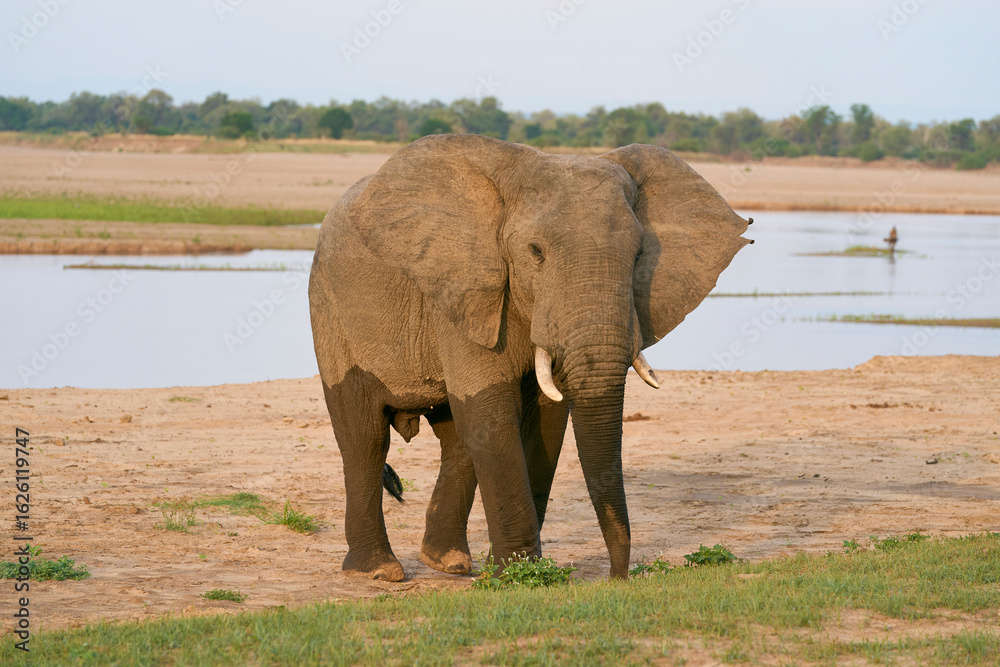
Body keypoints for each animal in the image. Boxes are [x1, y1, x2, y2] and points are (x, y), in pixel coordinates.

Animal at [308, 134, 752, 581]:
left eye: (639, 254)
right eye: (535, 252)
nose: (618, 577)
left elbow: (547, 418)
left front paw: (519, 570)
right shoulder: (462, 290)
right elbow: (491, 413)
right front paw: (515, 574)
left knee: (456, 440)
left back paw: (449, 562)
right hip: (331, 311)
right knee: (364, 438)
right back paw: (378, 571)